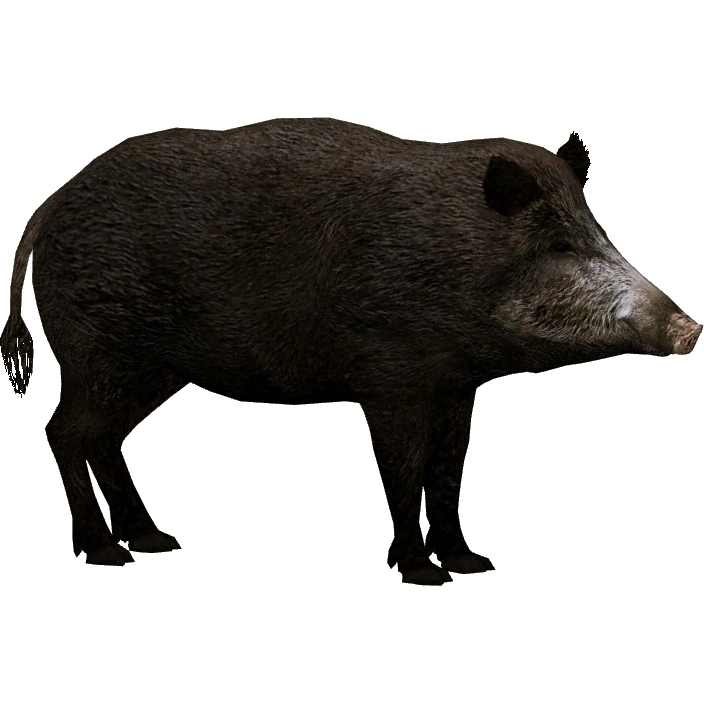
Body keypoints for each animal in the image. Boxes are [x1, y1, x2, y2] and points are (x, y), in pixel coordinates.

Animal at [1, 118, 700, 585]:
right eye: (557, 244)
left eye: (600, 230)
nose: (689, 329)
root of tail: (49, 205)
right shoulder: (392, 373)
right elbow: (406, 467)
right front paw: (425, 575)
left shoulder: (456, 384)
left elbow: (450, 467)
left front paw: (474, 563)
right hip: (99, 351)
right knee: (62, 431)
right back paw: (108, 555)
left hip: (145, 369)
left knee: (101, 438)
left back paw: (158, 541)